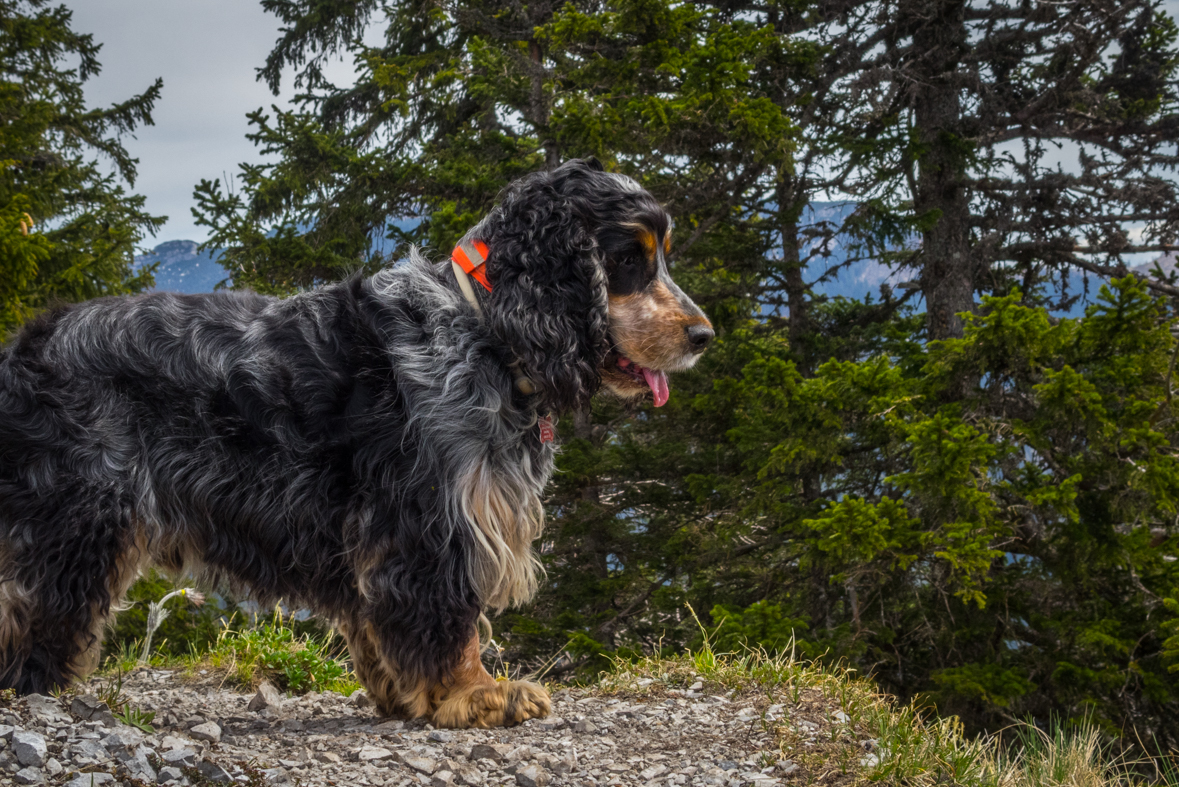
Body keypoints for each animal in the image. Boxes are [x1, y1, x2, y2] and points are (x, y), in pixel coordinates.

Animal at [0, 156, 707, 730]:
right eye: (628, 259)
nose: (705, 336)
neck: (485, 329)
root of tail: (26, 347)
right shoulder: (433, 518)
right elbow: (451, 618)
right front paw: (476, 694)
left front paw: (406, 695)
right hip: (82, 517)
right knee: (35, 611)